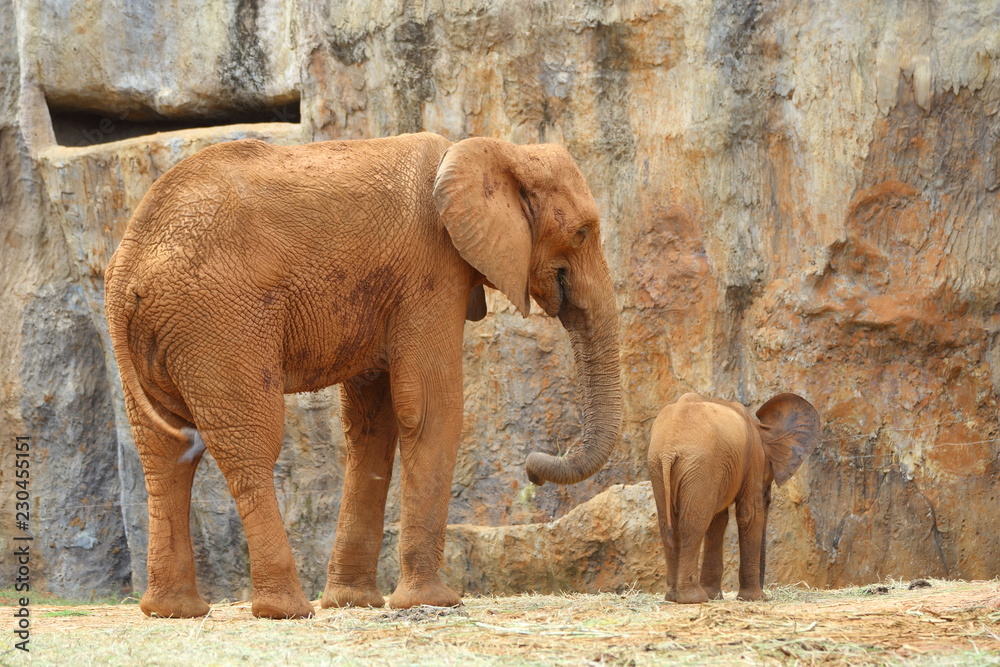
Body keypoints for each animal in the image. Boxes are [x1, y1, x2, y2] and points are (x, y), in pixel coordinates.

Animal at [104, 132, 622, 619]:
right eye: (581, 233)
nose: (534, 470)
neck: (493, 149)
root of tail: (130, 265)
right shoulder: (430, 271)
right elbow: (431, 408)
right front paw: (431, 603)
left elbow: (374, 423)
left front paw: (354, 602)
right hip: (218, 324)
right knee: (250, 444)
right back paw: (286, 610)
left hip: (163, 333)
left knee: (164, 451)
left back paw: (173, 611)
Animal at [646, 392, 820, 604]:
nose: (765, 592)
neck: (760, 428)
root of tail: (668, 450)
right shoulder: (752, 458)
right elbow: (749, 515)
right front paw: (754, 598)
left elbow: (717, 522)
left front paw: (715, 596)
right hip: (698, 464)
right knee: (692, 524)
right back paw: (694, 598)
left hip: (659, 465)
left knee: (667, 525)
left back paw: (673, 597)